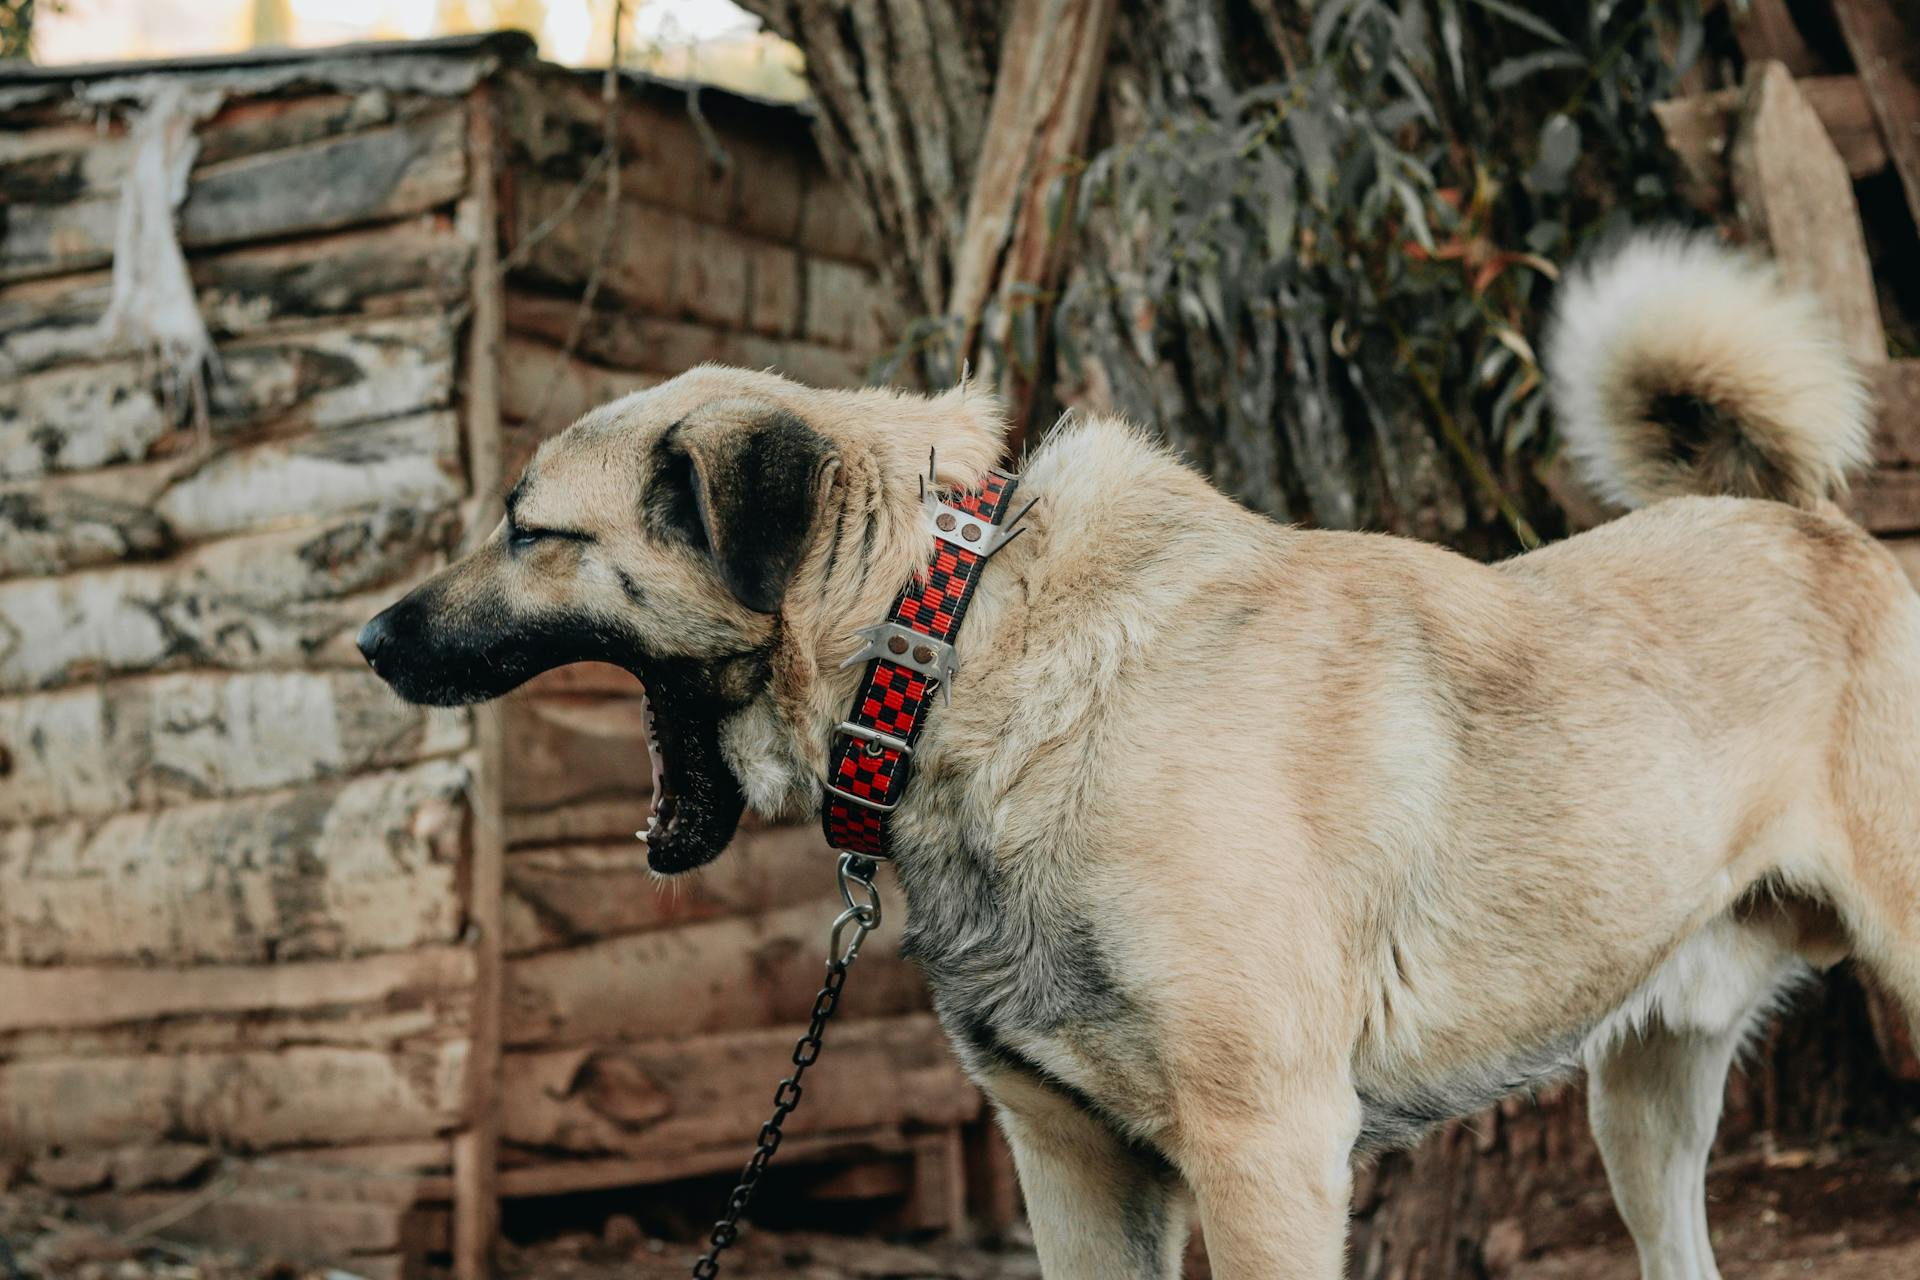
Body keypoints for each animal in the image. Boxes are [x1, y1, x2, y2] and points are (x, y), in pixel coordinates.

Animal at [362, 233, 1920, 1280]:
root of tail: (1810, 525)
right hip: (1642, 1098)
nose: (371, 639)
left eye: (532, 532)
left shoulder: (1268, 1151)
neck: (964, 647)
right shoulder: (1073, 1161)